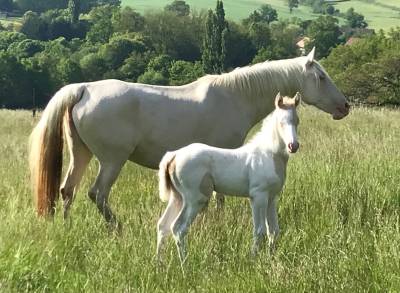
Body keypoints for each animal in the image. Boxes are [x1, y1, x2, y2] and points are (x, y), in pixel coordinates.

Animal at [156, 91, 300, 260]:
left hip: (177, 197)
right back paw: (185, 263)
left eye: (297, 121)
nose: (293, 146)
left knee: (163, 225)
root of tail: (174, 155)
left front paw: (271, 258)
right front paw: (253, 259)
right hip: (195, 199)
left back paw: (159, 262)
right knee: (178, 228)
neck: (268, 153)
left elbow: (274, 231)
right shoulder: (258, 196)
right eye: (281, 122)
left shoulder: (272, 197)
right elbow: (259, 230)